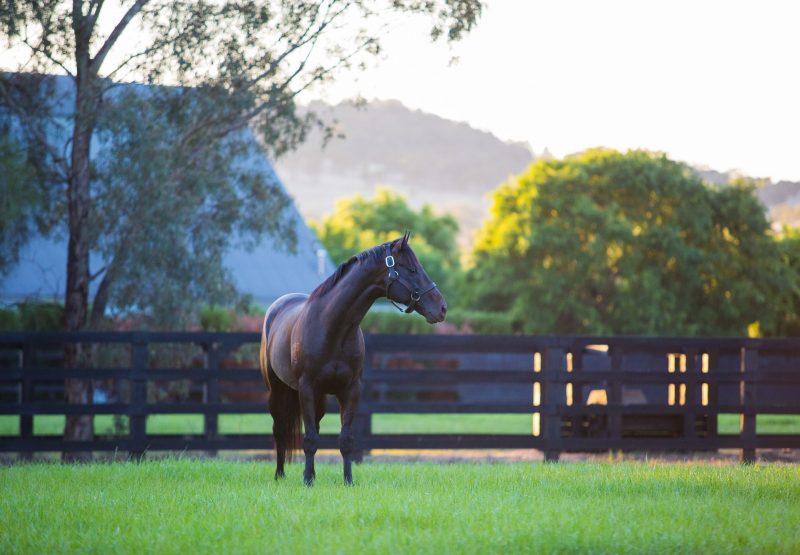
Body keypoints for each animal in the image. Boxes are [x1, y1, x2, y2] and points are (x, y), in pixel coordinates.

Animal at [260, 232, 446, 484]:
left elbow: (344, 440)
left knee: (314, 427)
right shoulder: (307, 388)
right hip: (277, 390)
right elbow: (309, 440)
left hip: (319, 398)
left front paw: (347, 480)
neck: (333, 329)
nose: (442, 308)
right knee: (279, 430)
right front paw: (307, 481)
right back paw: (280, 474)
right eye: (412, 270)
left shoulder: (350, 390)